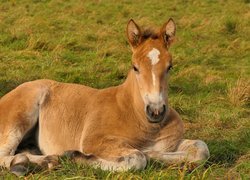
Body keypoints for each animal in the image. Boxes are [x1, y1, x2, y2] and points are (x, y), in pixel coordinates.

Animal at [0, 19, 209, 175]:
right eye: (135, 67)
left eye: (170, 66)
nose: (155, 111)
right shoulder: (94, 141)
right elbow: (137, 158)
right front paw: (75, 156)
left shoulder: (171, 143)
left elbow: (201, 149)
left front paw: (154, 154)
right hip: (20, 116)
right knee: (4, 154)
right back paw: (26, 164)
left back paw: (47, 160)